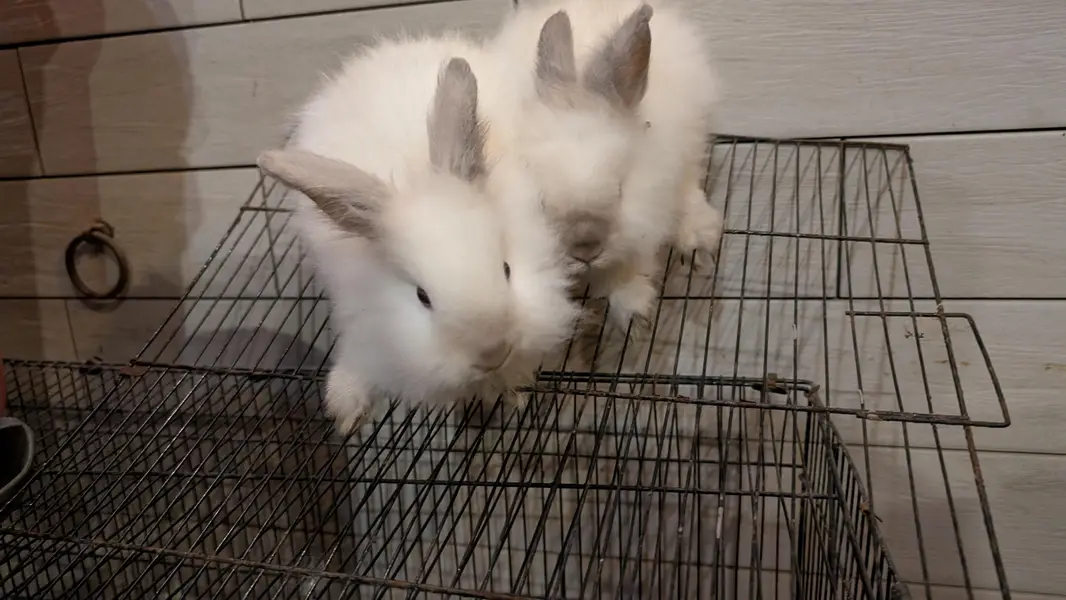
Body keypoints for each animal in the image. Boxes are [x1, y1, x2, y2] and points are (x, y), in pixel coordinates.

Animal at [478, 0, 724, 330]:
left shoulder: (646, 214)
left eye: (620, 190)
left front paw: (635, 316)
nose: (585, 250)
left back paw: (698, 238)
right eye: (541, 201)